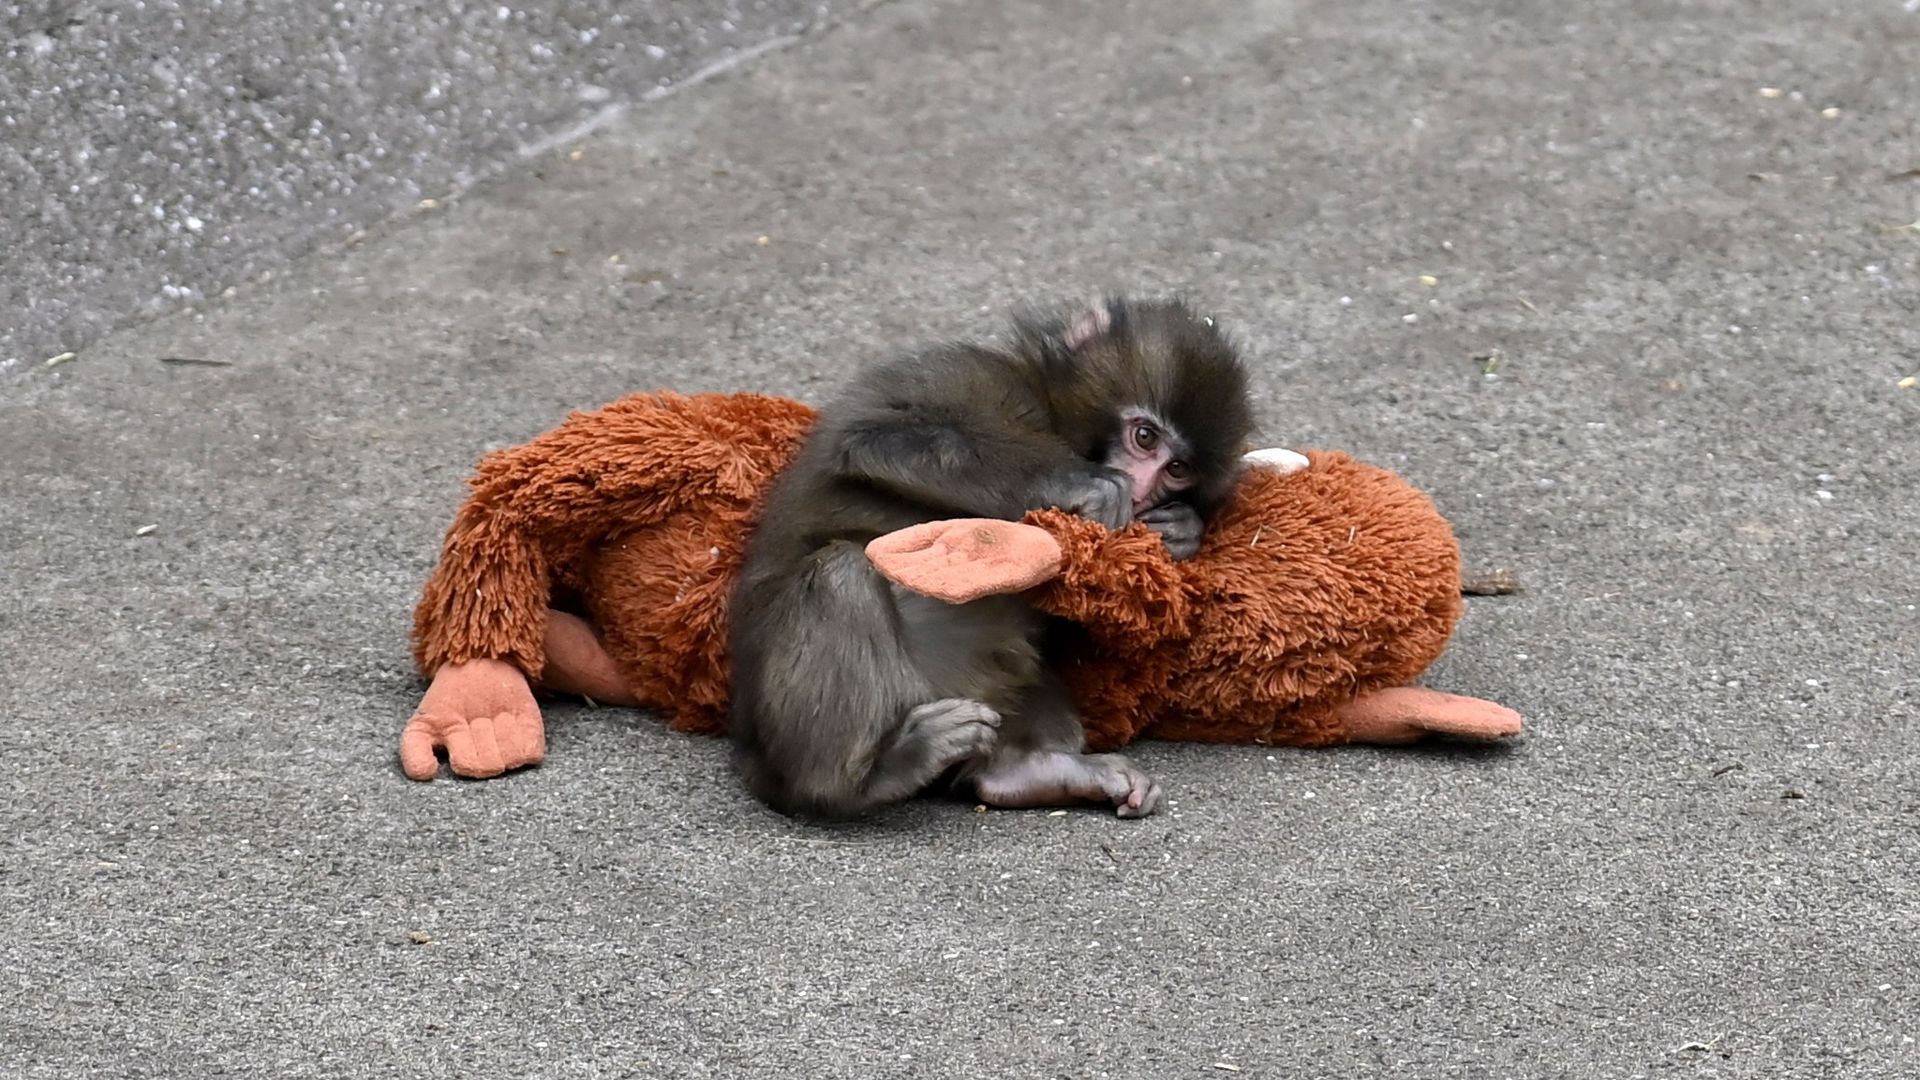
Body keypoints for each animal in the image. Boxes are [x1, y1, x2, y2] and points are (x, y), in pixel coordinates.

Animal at [725, 296, 1255, 820]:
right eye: (1144, 437)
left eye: (1177, 469)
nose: (1144, 491)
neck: (1047, 411)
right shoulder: (969, 375)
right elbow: (876, 438)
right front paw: (1082, 483)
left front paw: (1182, 530)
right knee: (840, 574)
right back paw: (860, 779)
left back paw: (1027, 772)